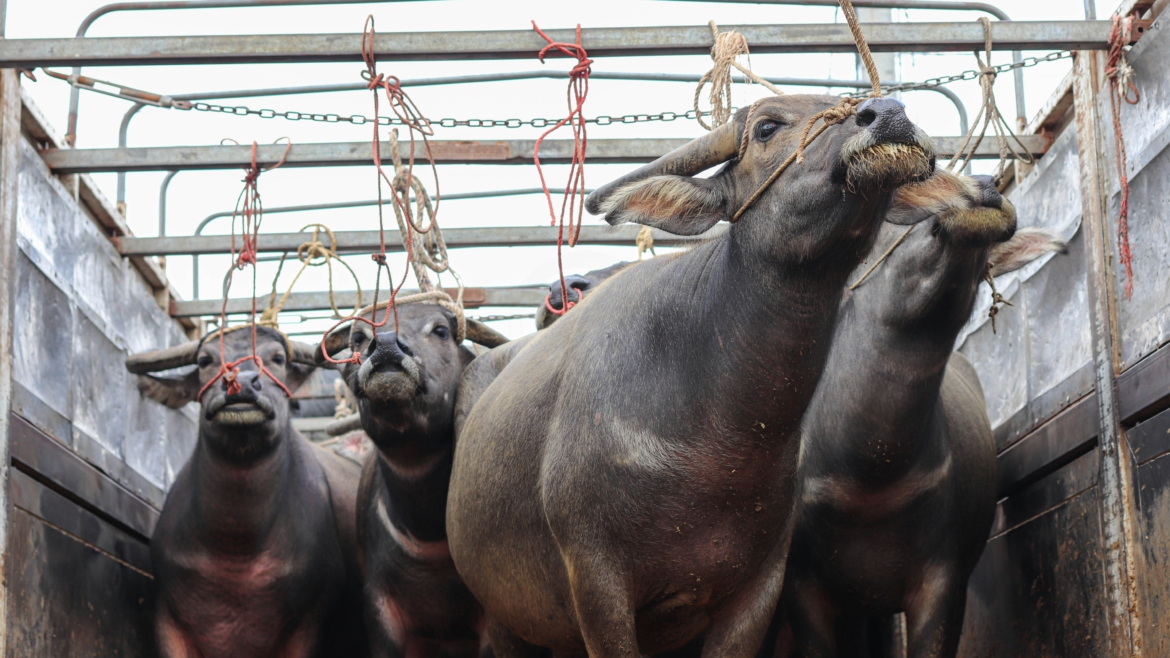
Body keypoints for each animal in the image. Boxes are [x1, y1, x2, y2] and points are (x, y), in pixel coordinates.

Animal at [126, 325, 367, 655]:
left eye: (277, 358)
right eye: (204, 360)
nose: (241, 384)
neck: (236, 547)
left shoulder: (307, 627)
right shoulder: (169, 623)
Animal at [444, 93, 940, 655]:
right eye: (766, 127)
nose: (888, 112)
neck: (720, 442)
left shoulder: (758, 590)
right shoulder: (595, 580)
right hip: (506, 617)